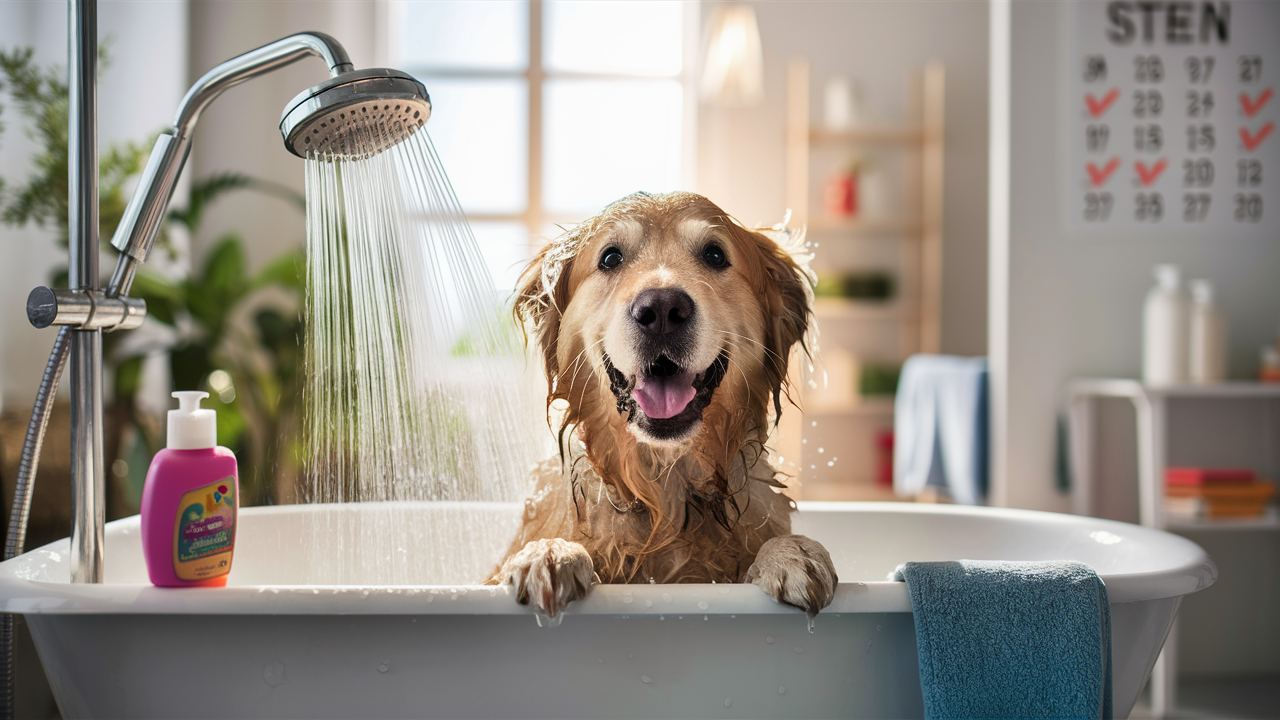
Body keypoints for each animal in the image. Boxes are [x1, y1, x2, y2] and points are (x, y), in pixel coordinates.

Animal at [483, 190, 834, 617]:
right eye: (610, 258)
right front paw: (550, 553)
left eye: (715, 255)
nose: (662, 309)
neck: (665, 498)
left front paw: (791, 553)